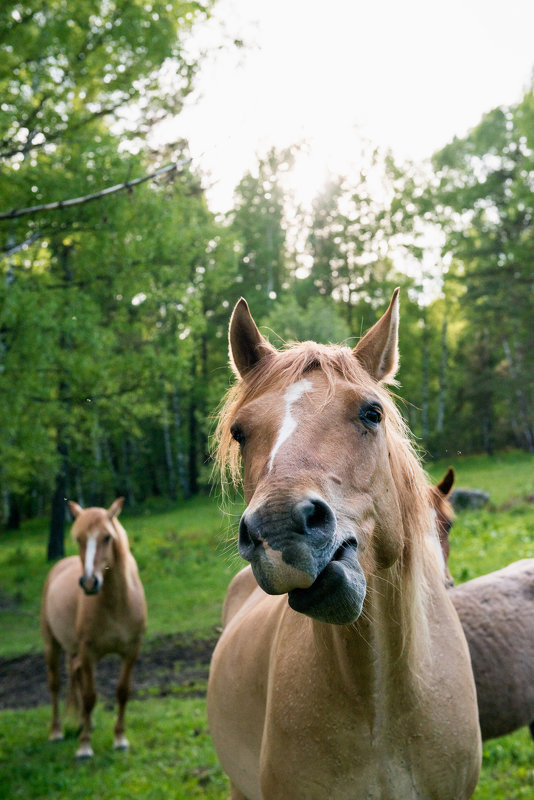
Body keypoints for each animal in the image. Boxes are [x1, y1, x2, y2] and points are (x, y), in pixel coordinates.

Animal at [40, 496, 148, 760]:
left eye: (107, 537)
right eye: (78, 538)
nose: (89, 582)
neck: (116, 604)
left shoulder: (132, 651)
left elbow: (122, 691)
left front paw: (120, 739)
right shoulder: (88, 653)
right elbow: (90, 697)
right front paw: (84, 746)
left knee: (76, 676)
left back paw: (82, 724)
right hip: (52, 646)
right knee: (55, 685)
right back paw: (57, 731)